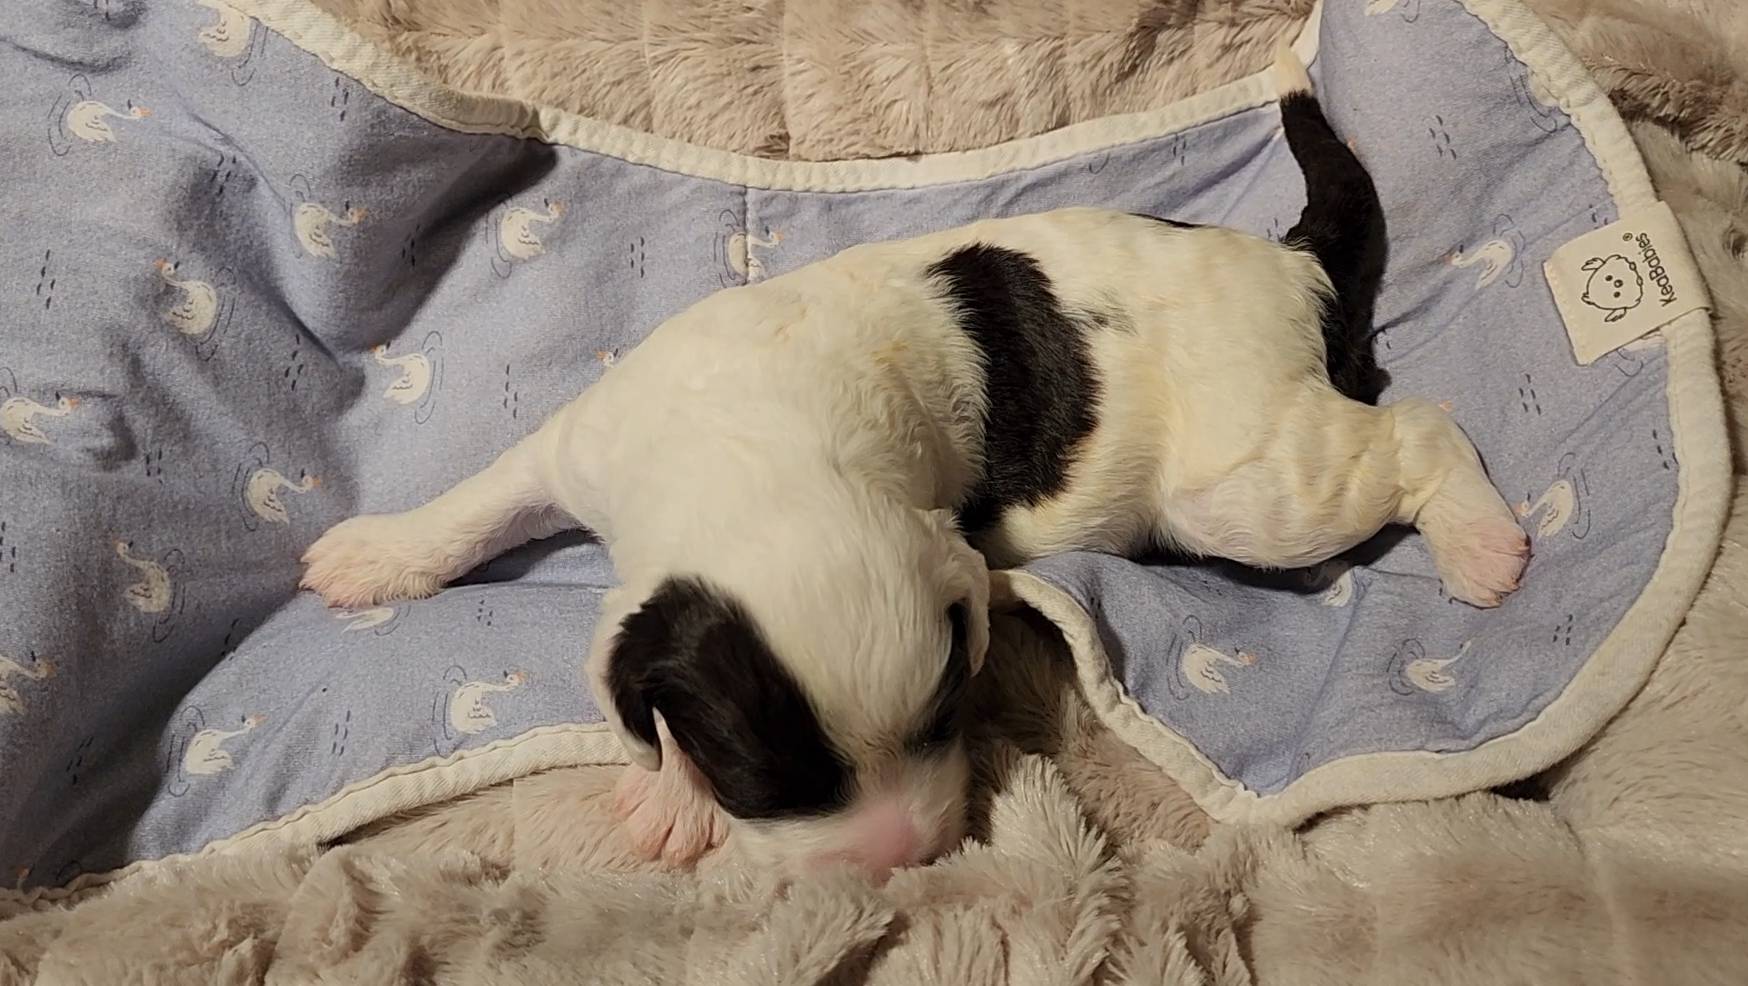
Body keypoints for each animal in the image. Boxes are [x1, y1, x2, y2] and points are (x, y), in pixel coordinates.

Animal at [300, 48, 1528, 882]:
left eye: (946, 718)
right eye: (772, 779)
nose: (902, 858)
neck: (761, 453)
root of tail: (1285, 263)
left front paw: (672, 799)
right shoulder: (584, 438)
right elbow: (484, 496)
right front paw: (376, 557)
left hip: (1245, 478)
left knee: (1415, 431)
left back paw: (1482, 545)